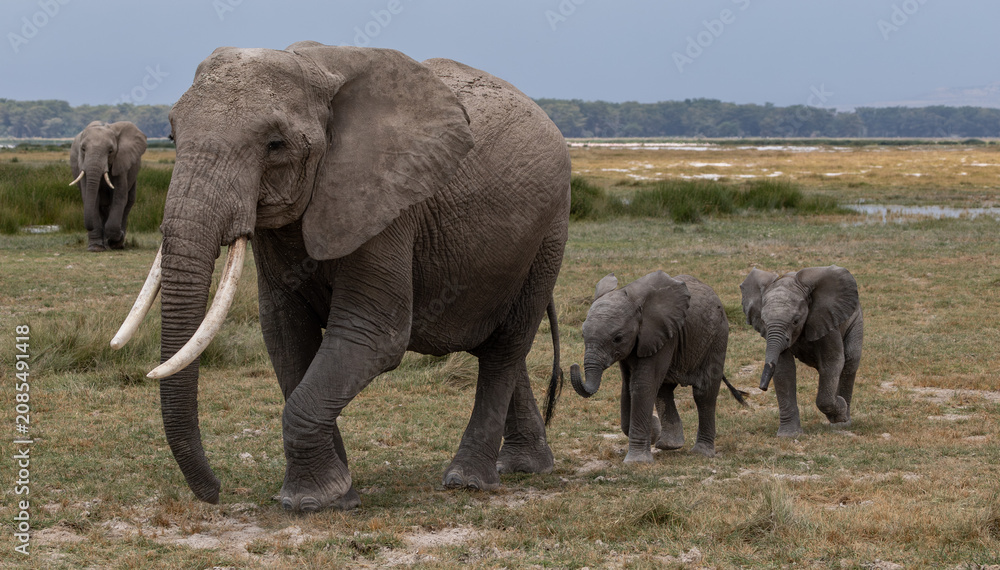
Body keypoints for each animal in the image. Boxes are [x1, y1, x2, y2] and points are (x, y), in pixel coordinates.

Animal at [69, 121, 147, 251]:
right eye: (83, 149)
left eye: (110, 151)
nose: (122, 234)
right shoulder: (82, 165)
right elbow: (91, 199)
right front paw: (95, 248)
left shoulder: (121, 163)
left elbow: (119, 197)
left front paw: (116, 240)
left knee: (128, 203)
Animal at [110, 43, 571, 513]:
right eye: (171, 136)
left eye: (275, 145)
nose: (216, 492)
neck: (318, 71)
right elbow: (285, 335)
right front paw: (340, 494)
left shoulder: (384, 203)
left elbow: (372, 335)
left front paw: (311, 501)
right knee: (503, 347)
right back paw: (525, 467)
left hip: (549, 230)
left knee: (505, 347)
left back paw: (469, 481)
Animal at [567, 271, 746, 462]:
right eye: (583, 334)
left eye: (617, 338)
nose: (573, 366)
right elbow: (628, 387)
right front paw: (653, 431)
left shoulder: (663, 335)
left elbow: (642, 385)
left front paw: (637, 461)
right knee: (664, 390)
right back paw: (669, 445)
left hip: (717, 336)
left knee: (703, 393)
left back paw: (701, 452)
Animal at [740, 265, 863, 437]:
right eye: (763, 321)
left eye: (795, 321)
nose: (762, 388)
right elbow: (784, 369)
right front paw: (788, 435)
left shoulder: (825, 318)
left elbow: (833, 362)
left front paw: (840, 410)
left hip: (855, 319)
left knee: (850, 362)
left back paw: (842, 422)